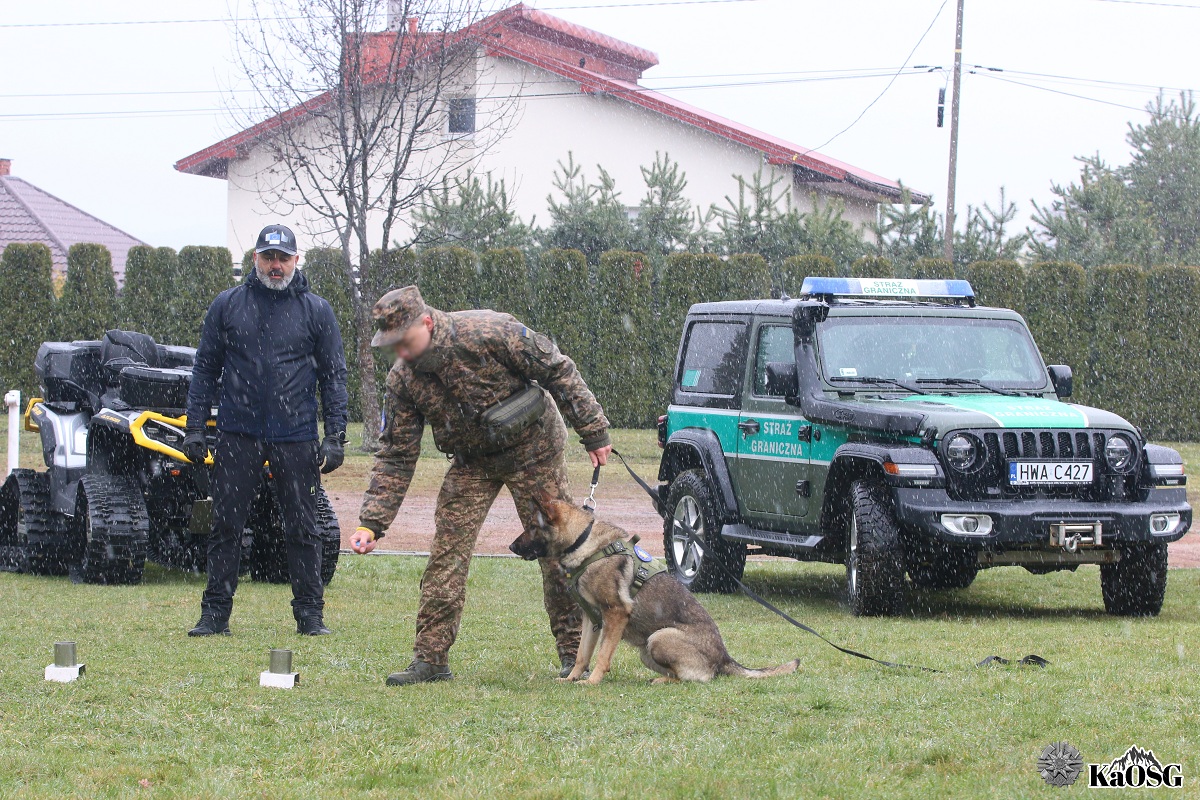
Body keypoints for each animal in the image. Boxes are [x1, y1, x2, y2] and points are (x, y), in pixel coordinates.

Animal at [509, 499, 799, 685]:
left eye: (532, 527)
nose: (511, 547)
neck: (583, 542)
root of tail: (725, 657)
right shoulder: (592, 620)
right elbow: (582, 655)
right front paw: (571, 678)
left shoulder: (615, 614)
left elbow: (602, 655)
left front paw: (591, 682)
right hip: (646, 651)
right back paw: (657, 678)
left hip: (658, 639)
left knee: (697, 678)